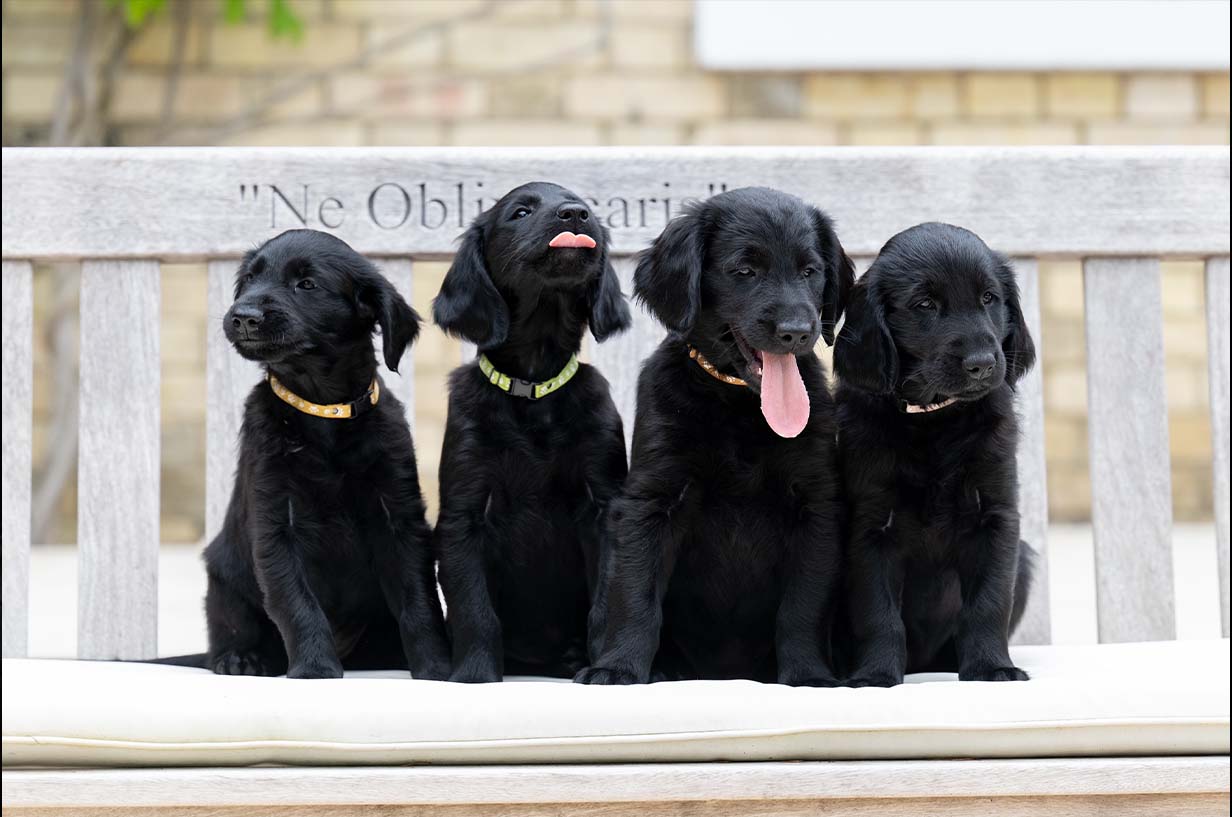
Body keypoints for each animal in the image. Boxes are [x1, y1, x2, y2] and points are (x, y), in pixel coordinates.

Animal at [199, 227, 450, 675]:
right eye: (249, 279)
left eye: (307, 284)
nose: (243, 315)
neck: (323, 412)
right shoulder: (276, 524)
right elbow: (297, 603)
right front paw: (315, 669)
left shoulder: (400, 518)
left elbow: (419, 603)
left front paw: (436, 668)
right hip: (223, 578)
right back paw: (240, 658)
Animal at [431, 181, 625, 685]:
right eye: (520, 212)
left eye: (587, 209)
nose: (575, 215)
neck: (534, 390)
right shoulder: (463, 514)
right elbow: (474, 609)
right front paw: (475, 675)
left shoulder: (605, 506)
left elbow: (608, 601)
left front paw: (606, 667)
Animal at [576, 188, 857, 685]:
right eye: (744, 271)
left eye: (810, 271)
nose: (797, 332)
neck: (739, 404)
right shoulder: (651, 499)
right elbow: (635, 593)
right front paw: (618, 667)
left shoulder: (818, 505)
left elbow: (803, 607)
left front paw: (808, 674)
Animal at [837, 220, 1039, 685]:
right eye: (925, 304)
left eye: (989, 298)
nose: (983, 364)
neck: (934, 422)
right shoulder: (871, 526)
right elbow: (878, 612)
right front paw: (876, 674)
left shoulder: (996, 518)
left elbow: (988, 603)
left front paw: (991, 666)